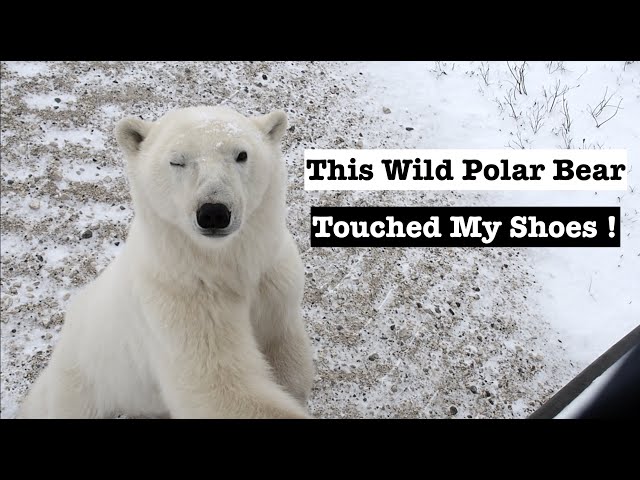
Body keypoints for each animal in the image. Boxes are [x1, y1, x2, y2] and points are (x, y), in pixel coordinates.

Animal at [18, 106, 314, 418]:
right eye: (177, 161)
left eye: (241, 154)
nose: (213, 212)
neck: (221, 264)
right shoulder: (179, 300)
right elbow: (217, 384)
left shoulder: (274, 280)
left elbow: (281, 347)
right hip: (82, 381)